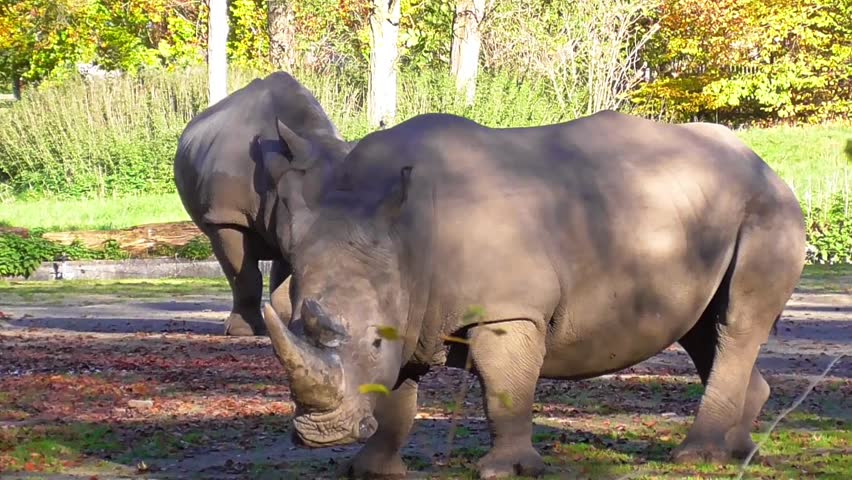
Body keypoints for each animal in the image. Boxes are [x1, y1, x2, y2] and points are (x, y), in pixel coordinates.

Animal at [260, 110, 806, 479]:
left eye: (374, 341)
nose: (321, 435)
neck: (403, 236)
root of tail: (768, 166)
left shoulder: (509, 310)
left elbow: (504, 388)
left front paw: (507, 470)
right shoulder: (409, 304)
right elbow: (397, 396)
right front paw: (369, 470)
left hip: (768, 209)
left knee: (735, 323)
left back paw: (696, 457)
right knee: (703, 330)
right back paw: (739, 451)